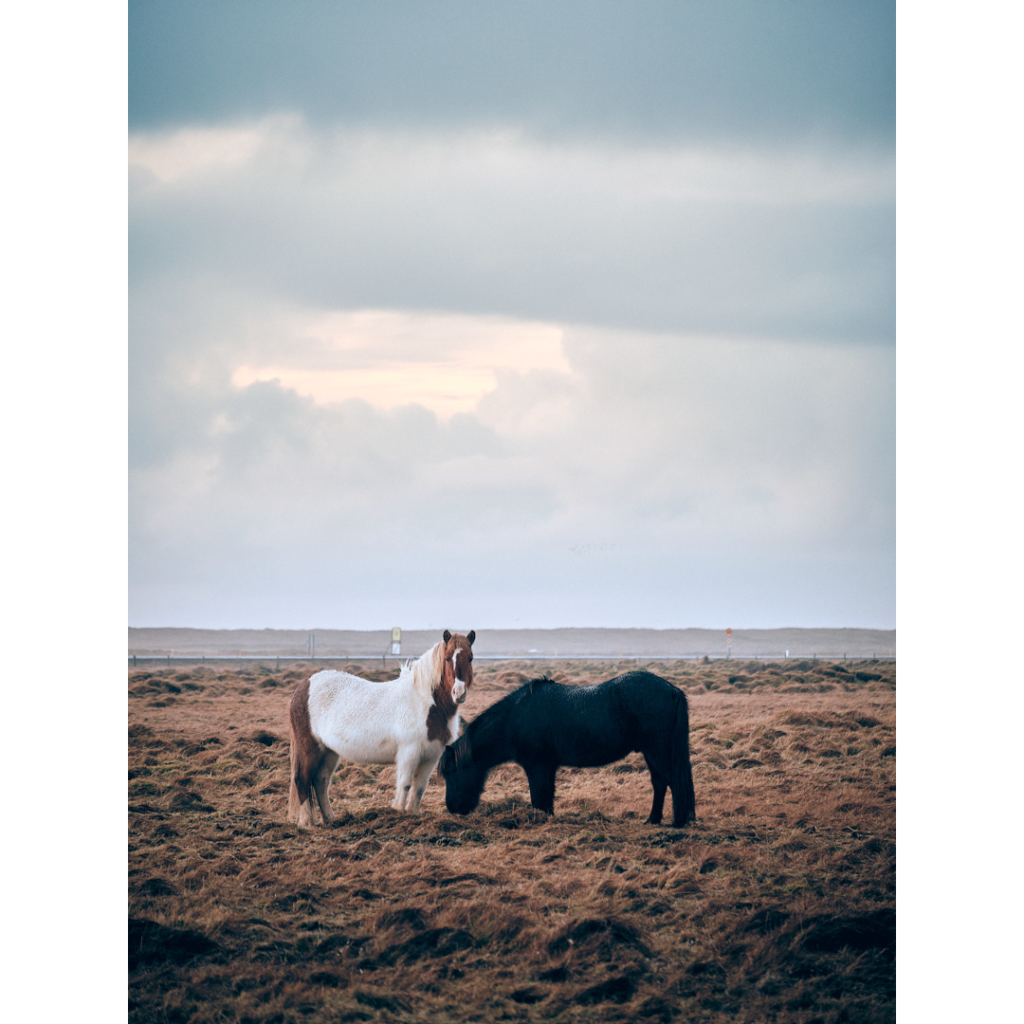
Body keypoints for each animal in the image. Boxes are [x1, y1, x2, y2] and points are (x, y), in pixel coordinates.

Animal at [288, 629, 475, 826]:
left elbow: (419, 788)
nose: (459, 693)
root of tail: (304, 686)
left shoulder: (431, 756)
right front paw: (399, 813)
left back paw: (331, 819)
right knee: (302, 779)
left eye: (470, 658)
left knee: (321, 781)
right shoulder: (409, 752)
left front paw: (413, 814)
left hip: (329, 751)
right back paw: (307, 823)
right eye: (447, 658)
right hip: (309, 748)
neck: (425, 702)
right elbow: (405, 784)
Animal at [440, 671, 695, 827]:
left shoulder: (537, 767)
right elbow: (546, 799)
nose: (453, 808)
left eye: (451, 772)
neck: (516, 717)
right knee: (660, 783)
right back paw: (652, 820)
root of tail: (672, 690)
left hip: (659, 752)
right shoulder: (547, 767)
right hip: (651, 754)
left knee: (674, 782)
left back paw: (678, 823)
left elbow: (539, 798)